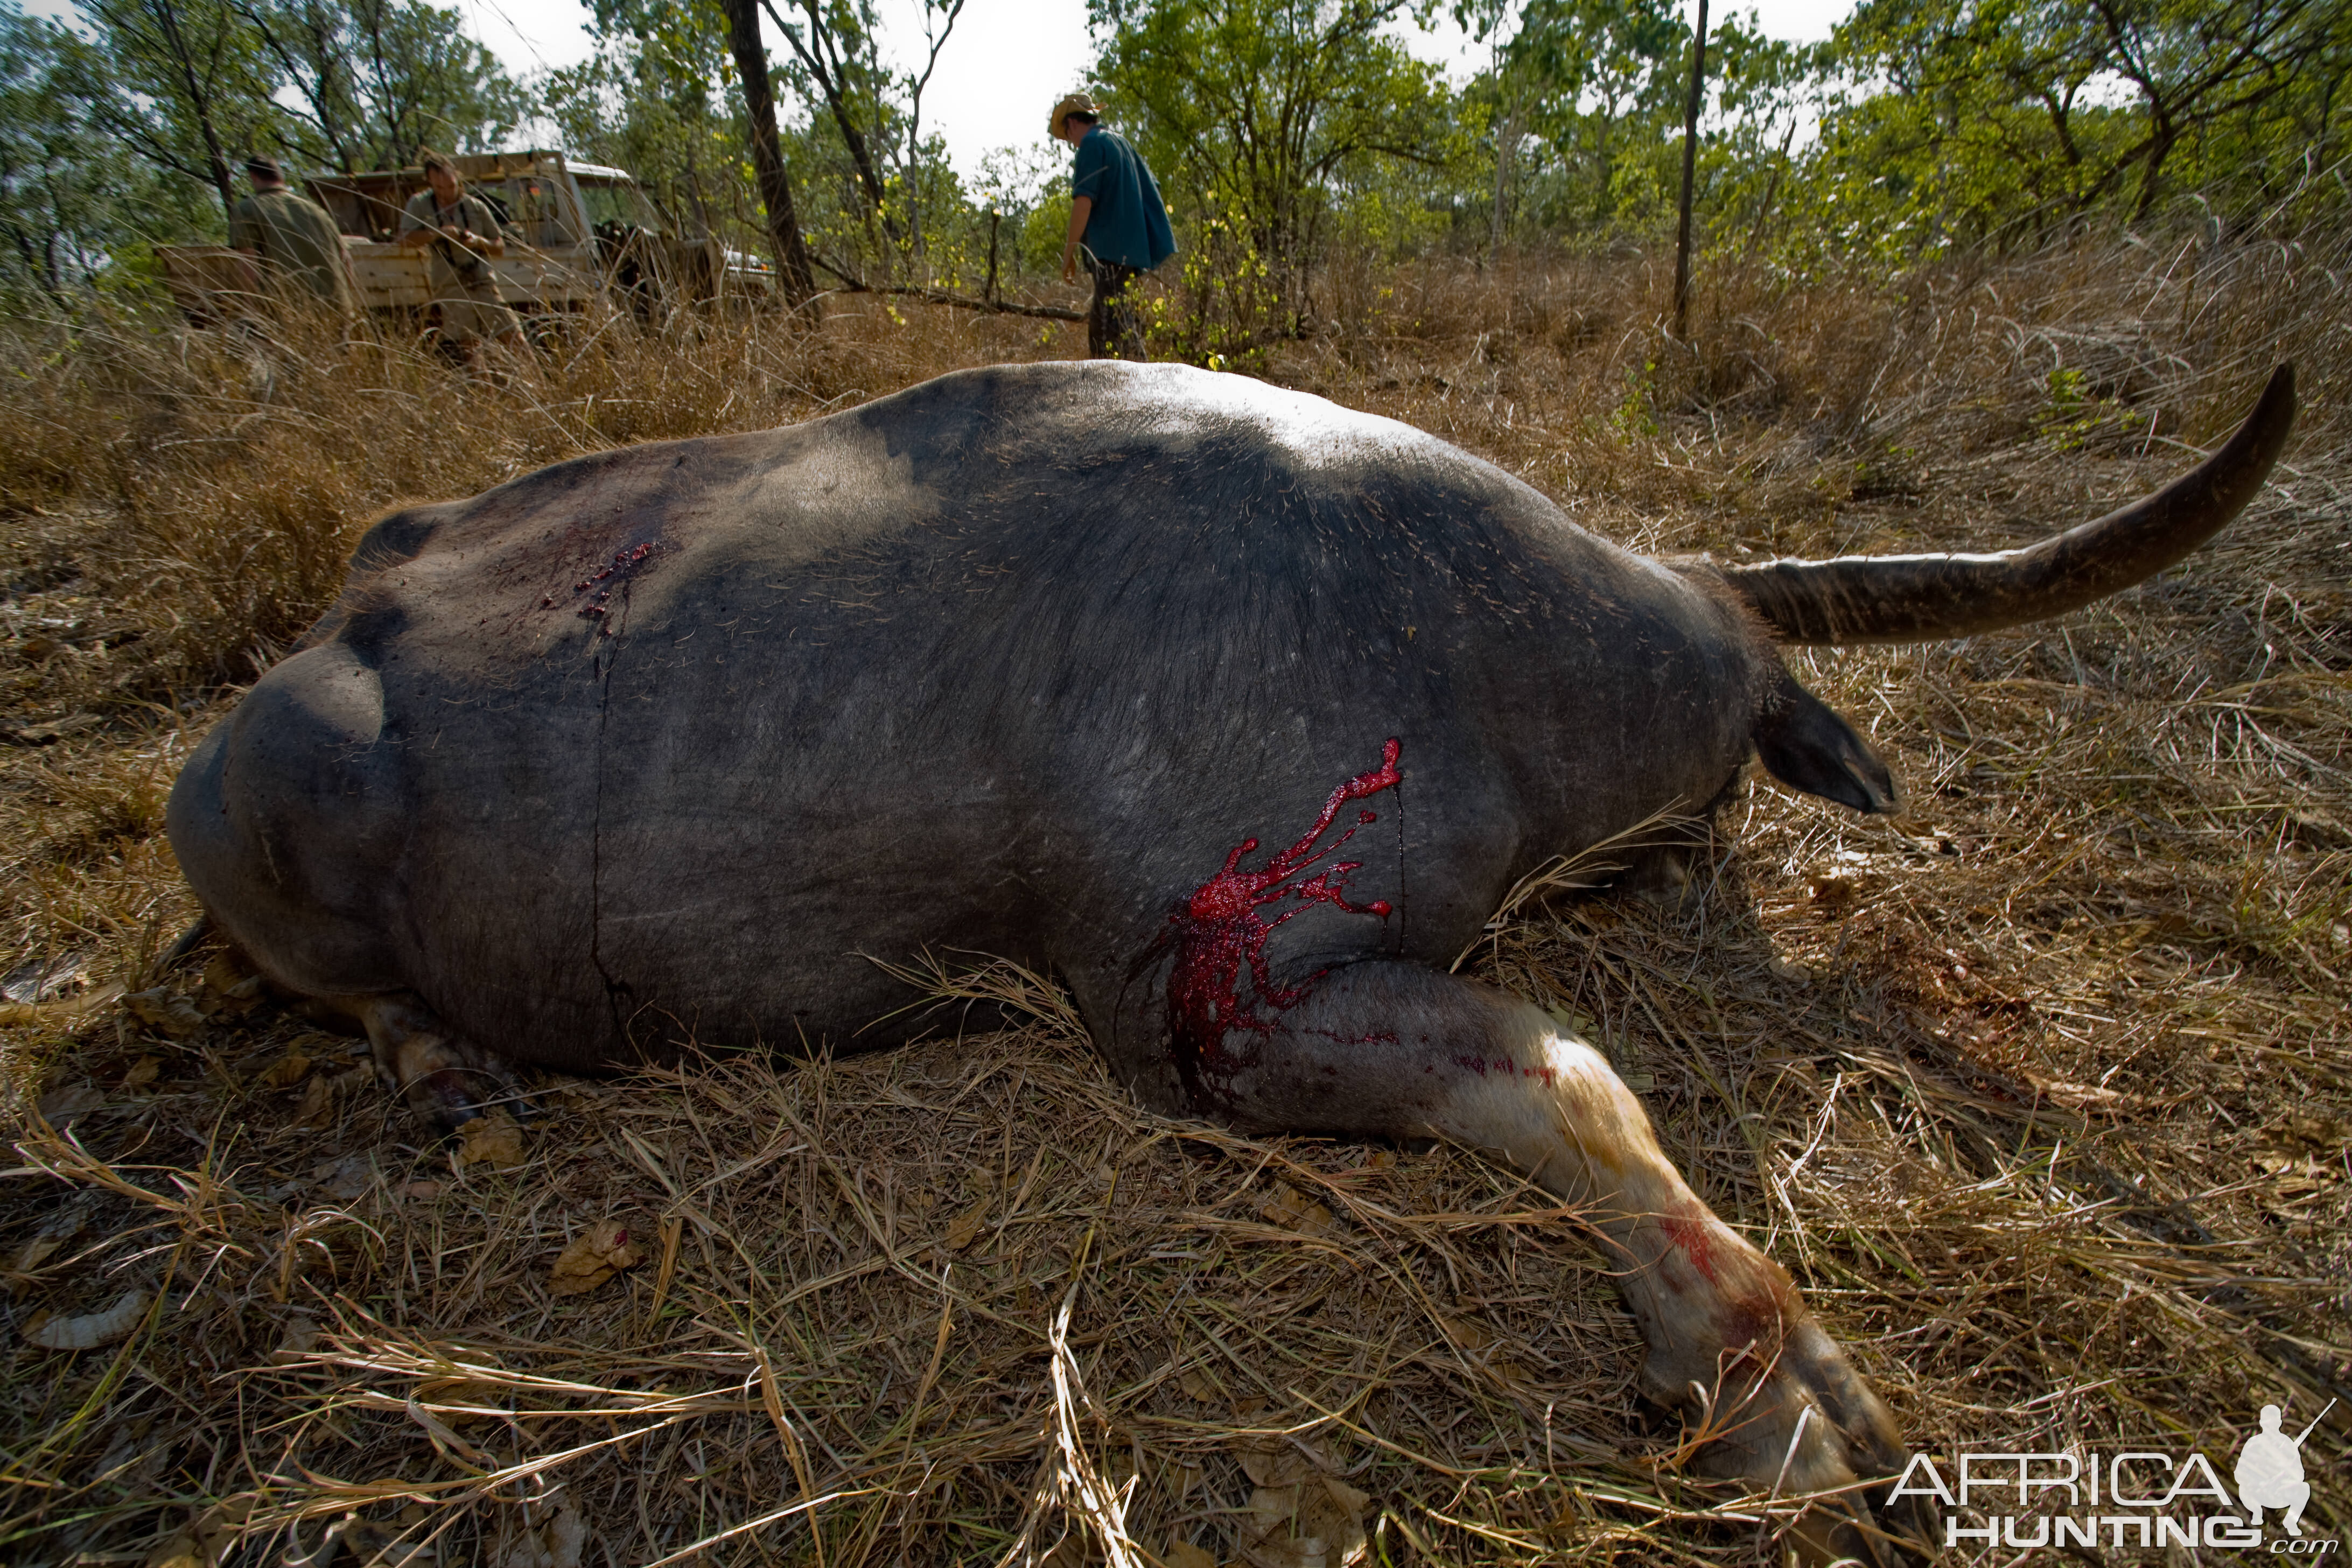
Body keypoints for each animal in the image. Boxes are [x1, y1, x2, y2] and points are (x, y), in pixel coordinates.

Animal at [170, 362, 2295, 1551]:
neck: (1489, 636)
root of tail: (322, 632)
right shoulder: (1217, 1004)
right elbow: (1582, 1084)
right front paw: (1760, 1381)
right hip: (291, 844)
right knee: (361, 995)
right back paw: (446, 1076)